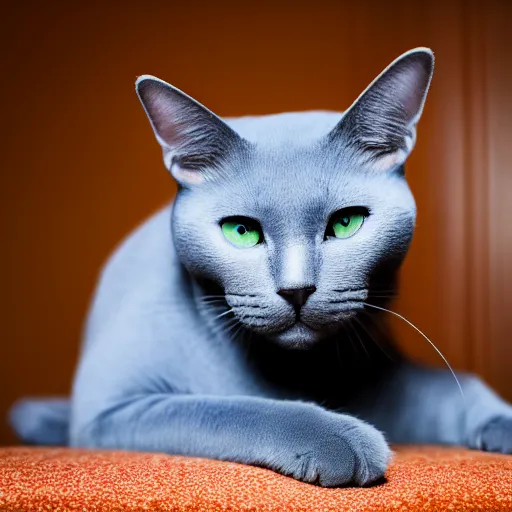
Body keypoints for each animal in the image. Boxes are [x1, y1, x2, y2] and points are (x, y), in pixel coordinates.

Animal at [9, 46, 512, 486]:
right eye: (241, 231)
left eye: (346, 223)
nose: (297, 289)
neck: (294, 370)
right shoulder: (109, 409)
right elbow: (233, 409)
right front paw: (338, 437)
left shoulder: (376, 372)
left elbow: (457, 385)